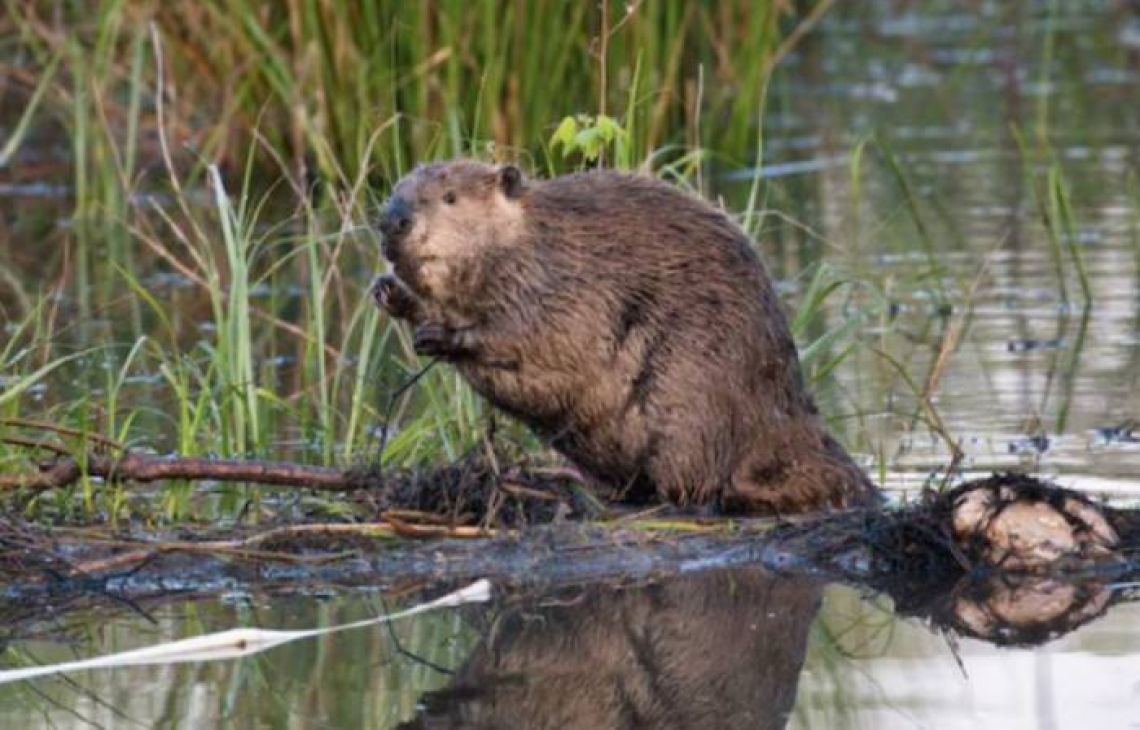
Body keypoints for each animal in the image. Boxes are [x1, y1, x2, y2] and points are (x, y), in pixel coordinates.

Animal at [371, 159, 870, 513]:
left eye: (450, 197)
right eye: (396, 192)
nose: (393, 221)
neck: (531, 238)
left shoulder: (563, 283)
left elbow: (536, 335)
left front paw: (442, 334)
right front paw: (389, 292)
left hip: (690, 393)